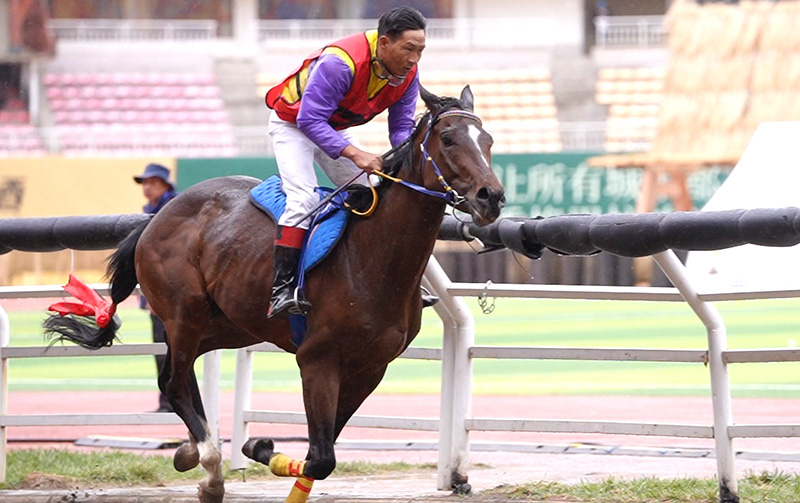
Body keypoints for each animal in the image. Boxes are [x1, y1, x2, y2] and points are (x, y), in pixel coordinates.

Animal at [43, 85, 505, 503]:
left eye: (488, 140)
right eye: (448, 139)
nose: (492, 197)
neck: (372, 259)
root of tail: (156, 218)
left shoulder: (371, 368)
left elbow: (321, 453)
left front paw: (257, 446)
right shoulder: (318, 360)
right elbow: (322, 457)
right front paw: (256, 446)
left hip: (227, 324)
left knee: (177, 379)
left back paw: (191, 450)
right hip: (184, 313)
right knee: (174, 384)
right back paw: (210, 468)